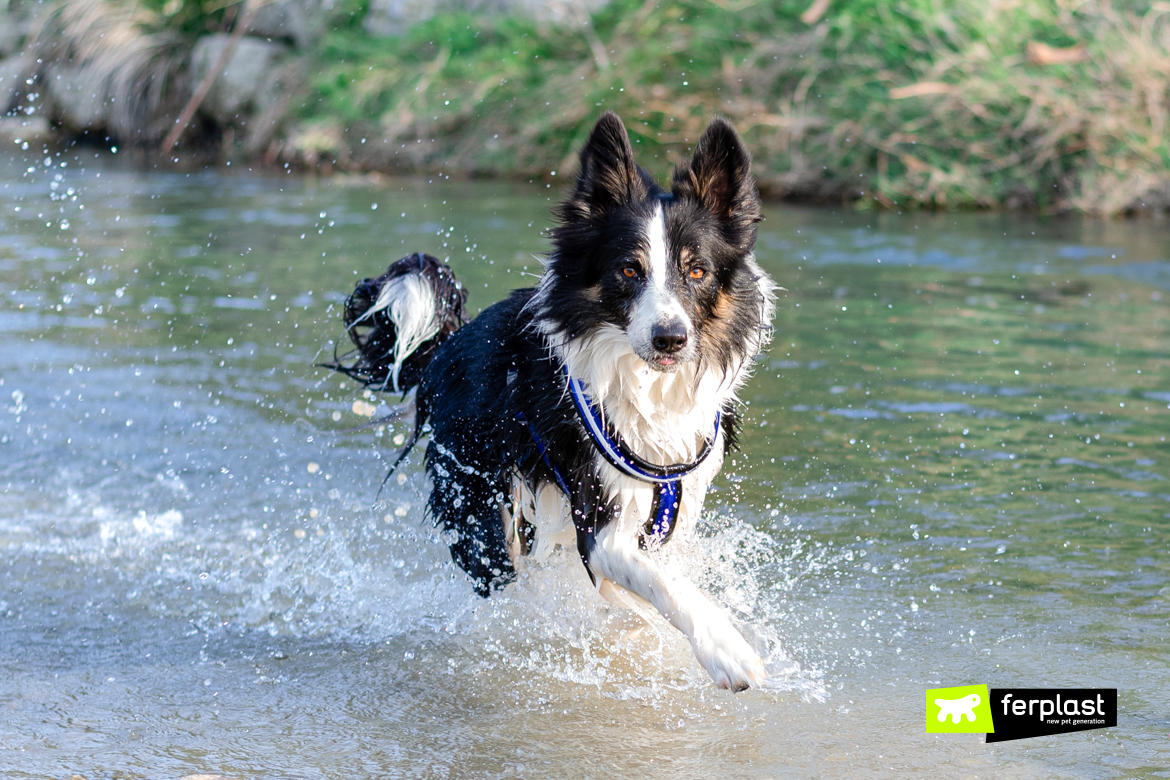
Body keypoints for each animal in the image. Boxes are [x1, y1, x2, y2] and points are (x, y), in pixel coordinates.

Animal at [334, 112, 776, 692]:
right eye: (629, 270)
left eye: (697, 271)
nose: (670, 339)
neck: (643, 388)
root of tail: (444, 348)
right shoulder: (600, 522)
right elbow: (666, 586)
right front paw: (727, 651)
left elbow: (659, 580)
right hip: (482, 507)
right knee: (505, 578)